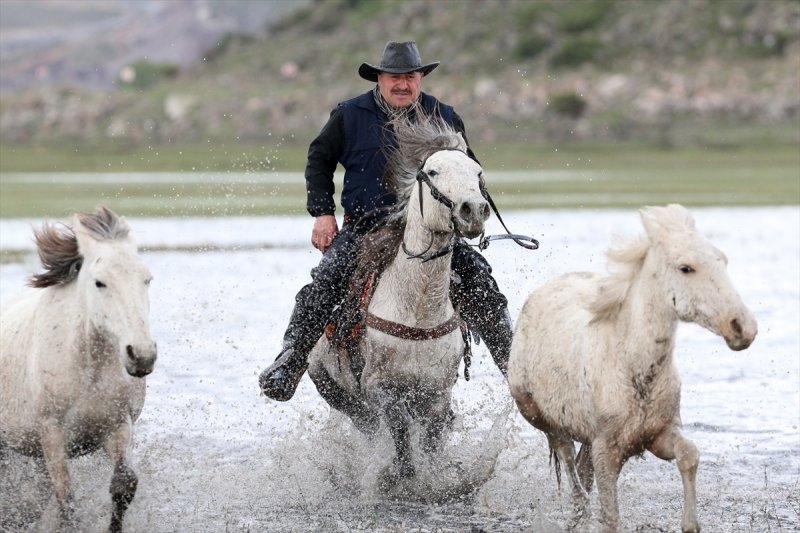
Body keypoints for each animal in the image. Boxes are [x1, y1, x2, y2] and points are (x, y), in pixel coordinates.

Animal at [0, 207, 156, 532]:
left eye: (146, 279)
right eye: (99, 282)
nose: (142, 355)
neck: (87, 370)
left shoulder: (117, 425)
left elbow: (124, 484)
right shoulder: (52, 433)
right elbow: (67, 502)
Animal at [512, 205, 756, 532]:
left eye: (723, 260)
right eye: (686, 268)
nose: (743, 328)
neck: (632, 368)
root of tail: (542, 291)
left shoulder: (657, 436)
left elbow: (689, 453)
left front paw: (690, 523)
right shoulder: (606, 451)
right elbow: (610, 517)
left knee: (580, 468)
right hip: (539, 415)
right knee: (567, 459)